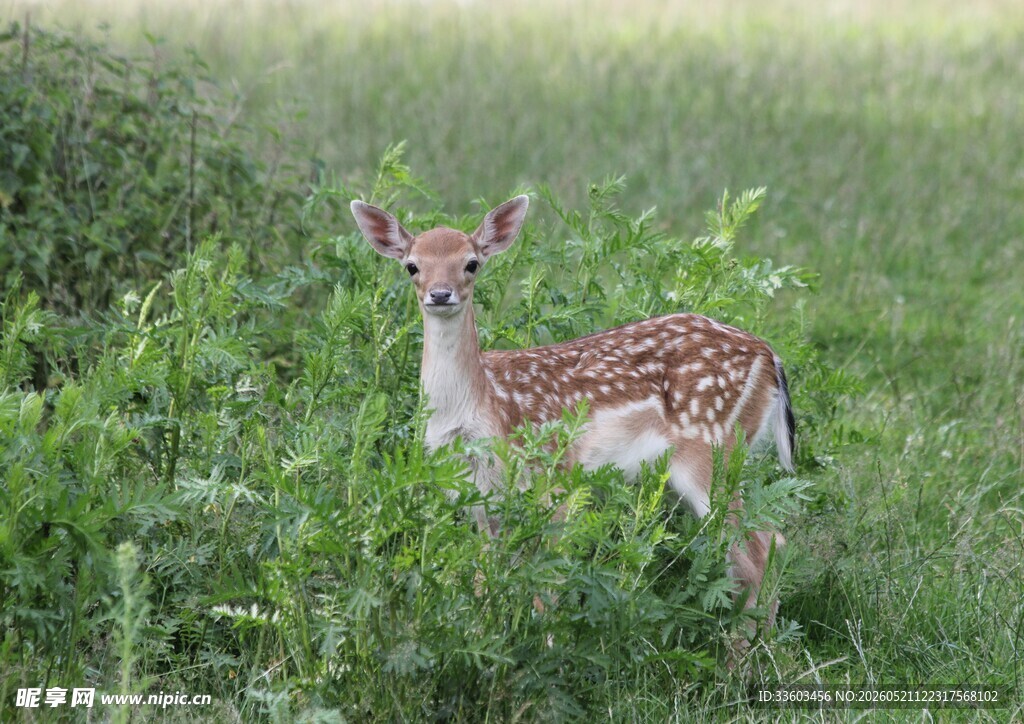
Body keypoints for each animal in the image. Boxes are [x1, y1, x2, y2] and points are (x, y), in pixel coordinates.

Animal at [350, 194, 795, 626]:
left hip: (714, 447)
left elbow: (546, 583)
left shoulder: (555, 474)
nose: (441, 294)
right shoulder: (479, 495)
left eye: (471, 263)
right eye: (412, 266)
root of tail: (770, 357)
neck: (480, 408)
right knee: (763, 544)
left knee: (760, 548)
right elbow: (483, 577)